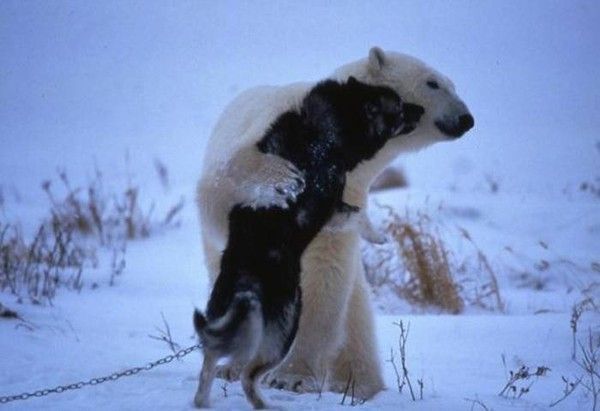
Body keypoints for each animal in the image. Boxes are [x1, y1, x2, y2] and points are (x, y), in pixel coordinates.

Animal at [197, 46, 474, 400]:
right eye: (433, 83)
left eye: (453, 84)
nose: (466, 118)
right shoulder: (269, 136)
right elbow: (224, 186)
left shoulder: (349, 192)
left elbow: (324, 276)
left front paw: (293, 377)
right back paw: (232, 365)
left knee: (355, 318)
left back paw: (360, 385)